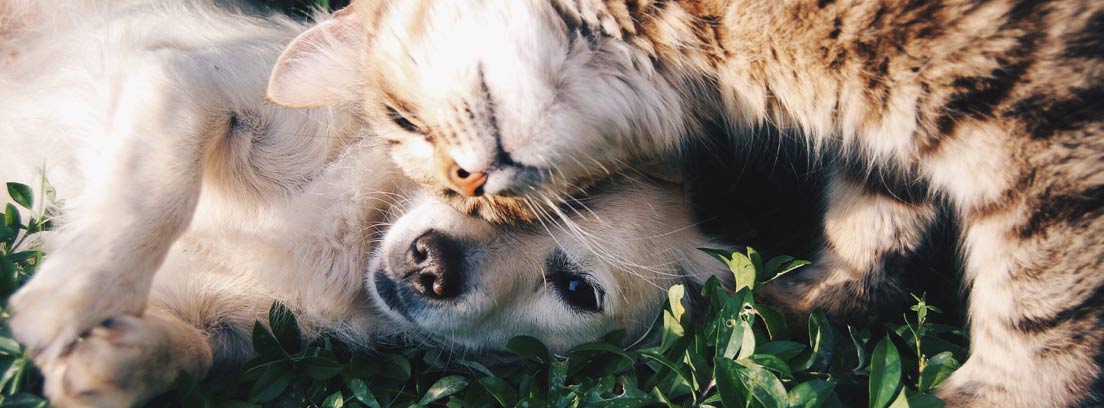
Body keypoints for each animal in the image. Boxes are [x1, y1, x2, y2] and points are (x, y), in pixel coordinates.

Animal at [267, 0, 1104, 405]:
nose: (466, 188)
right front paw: (813, 300)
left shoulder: (1040, 113)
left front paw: (1005, 395)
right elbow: (873, 212)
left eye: (402, 123)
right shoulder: (890, 123)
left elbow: (1040, 299)